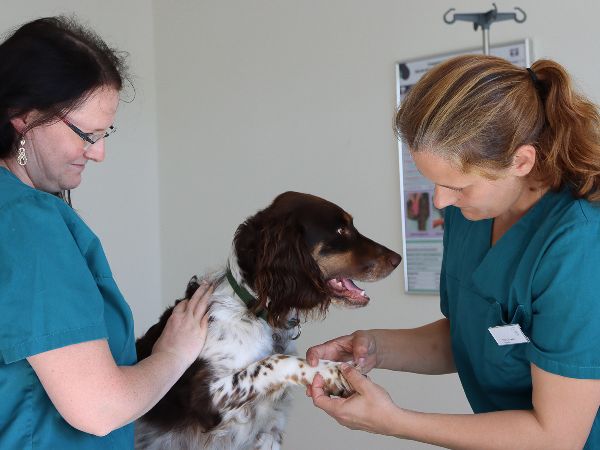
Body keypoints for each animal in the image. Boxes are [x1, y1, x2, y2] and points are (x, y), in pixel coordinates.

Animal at [135, 191, 401, 450]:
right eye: (340, 231)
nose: (397, 259)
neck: (254, 310)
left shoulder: (269, 432)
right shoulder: (206, 396)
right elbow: (273, 361)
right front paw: (333, 371)